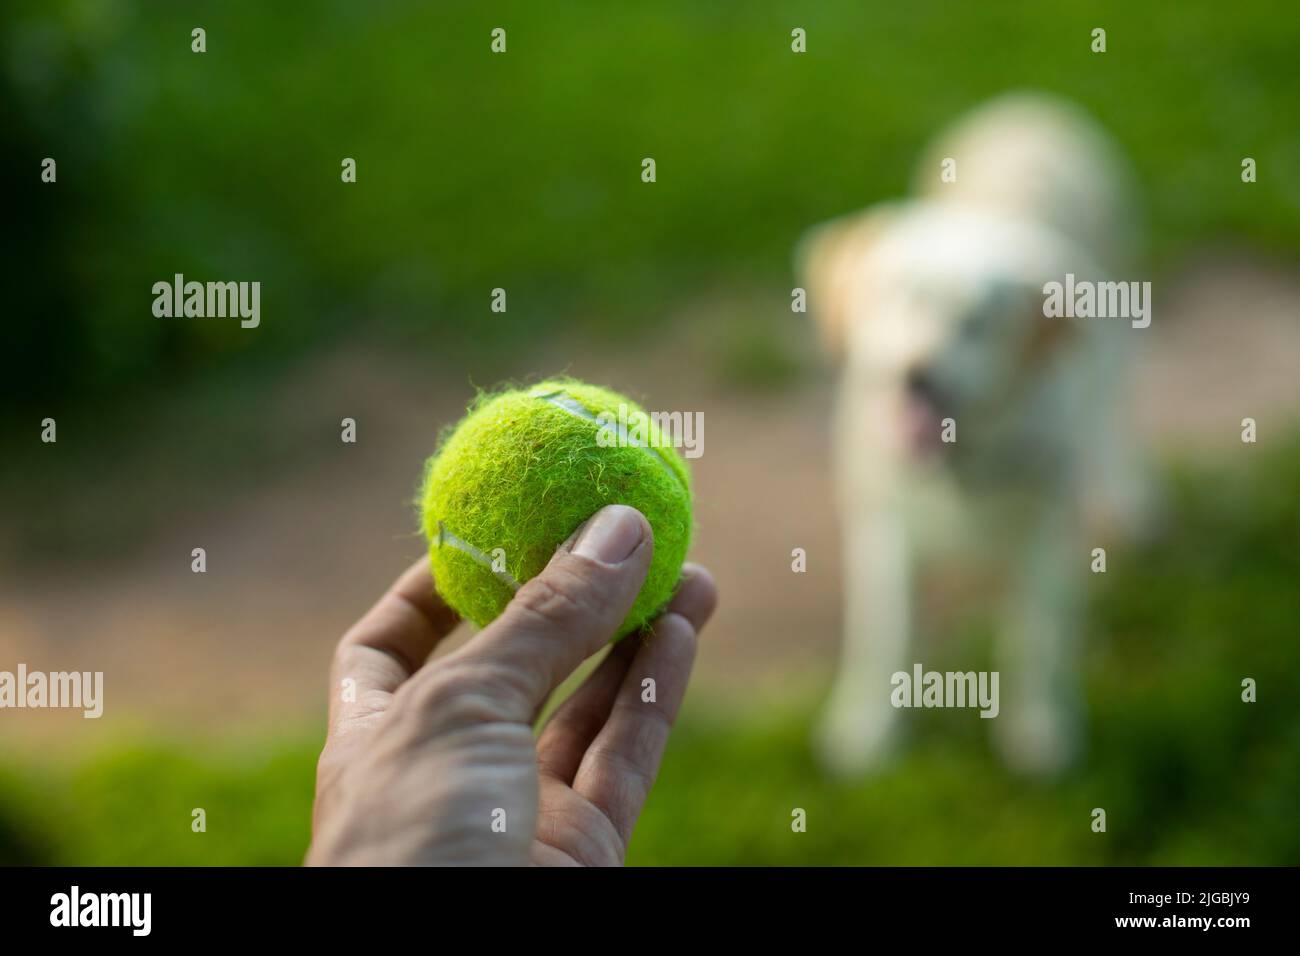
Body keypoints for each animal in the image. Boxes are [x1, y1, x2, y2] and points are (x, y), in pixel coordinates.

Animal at [806, 93, 1154, 775]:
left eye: (977, 322)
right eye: (893, 294)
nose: (916, 375)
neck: (958, 459)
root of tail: (1027, 106)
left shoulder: (1046, 535)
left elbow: (1037, 638)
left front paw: (1040, 727)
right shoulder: (884, 527)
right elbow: (884, 636)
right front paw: (870, 729)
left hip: (1115, 331)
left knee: (1111, 412)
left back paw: (1130, 497)